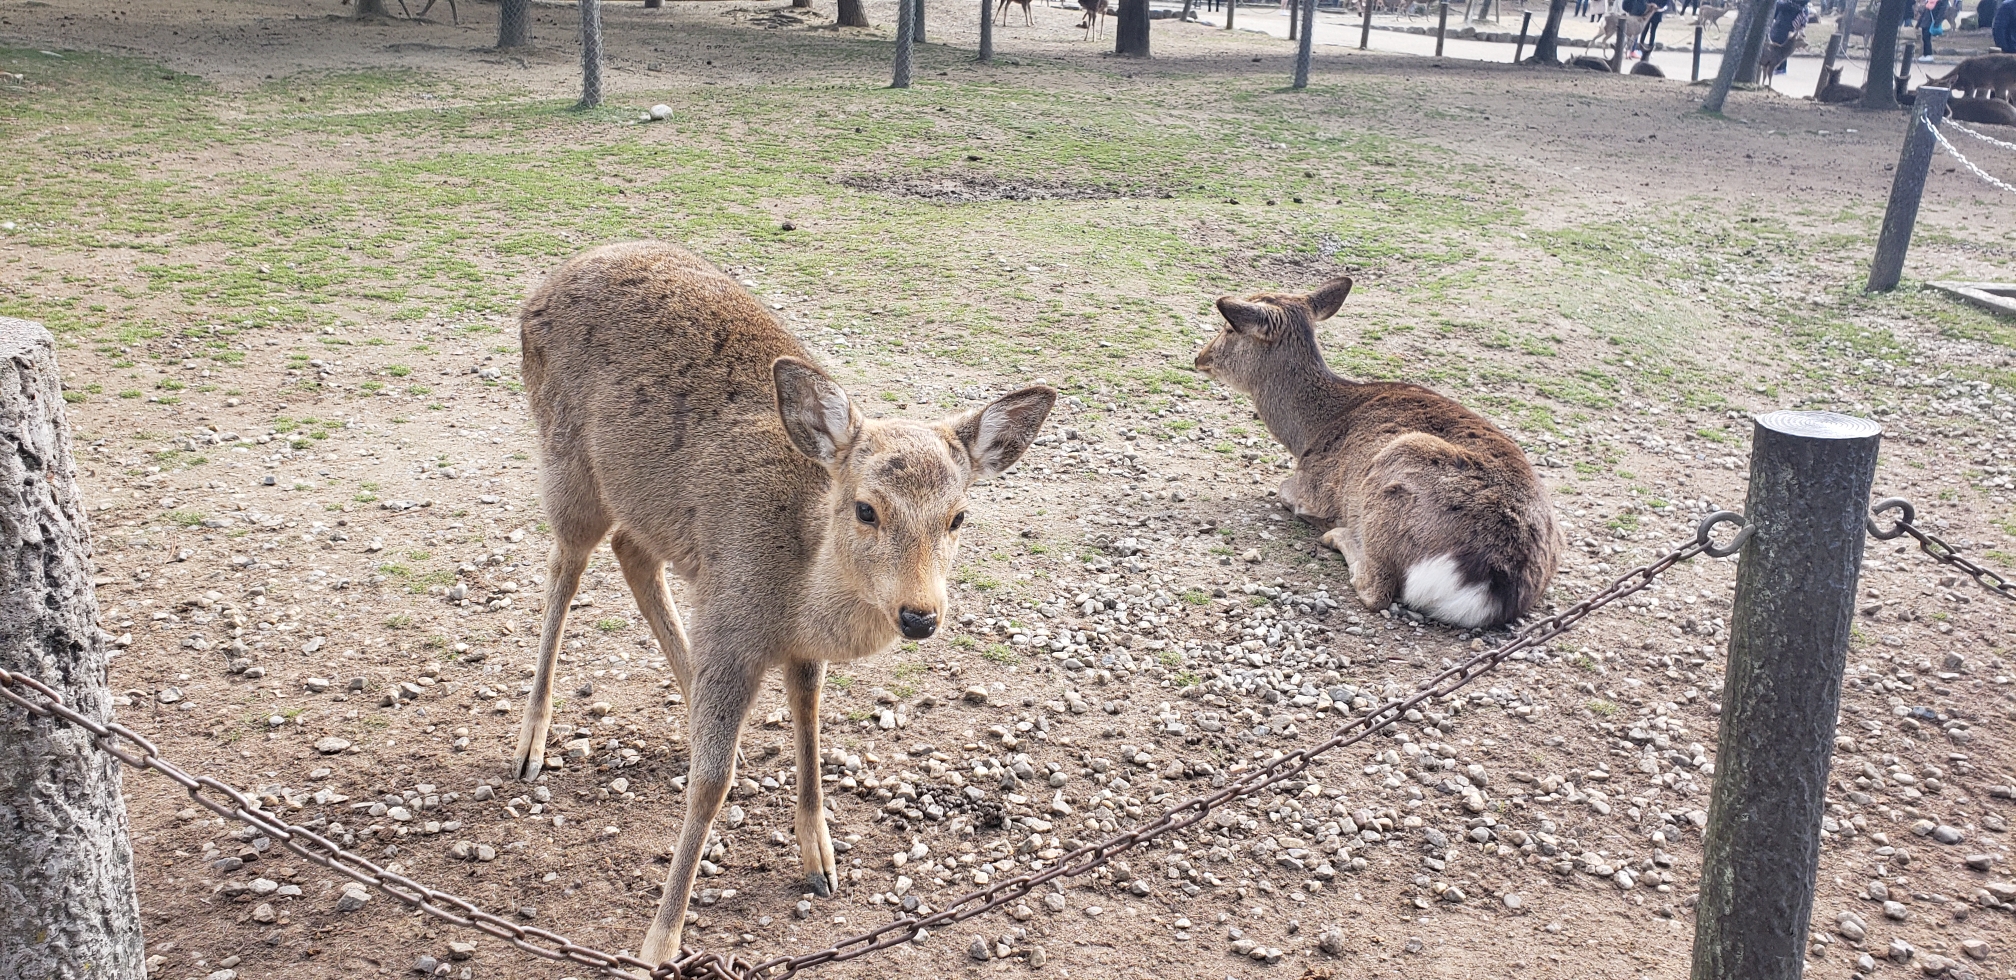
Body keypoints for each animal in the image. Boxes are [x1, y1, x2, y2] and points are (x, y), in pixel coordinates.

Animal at [512, 238, 1064, 963]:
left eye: (958, 517)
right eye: (865, 508)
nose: (920, 614)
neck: (797, 596)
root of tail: (543, 286)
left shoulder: (791, 647)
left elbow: (809, 718)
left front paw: (819, 857)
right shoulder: (732, 618)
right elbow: (710, 785)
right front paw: (659, 943)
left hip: (650, 513)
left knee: (633, 553)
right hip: (568, 463)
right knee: (565, 566)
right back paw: (531, 741)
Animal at [1193, 276, 1556, 629]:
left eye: (1228, 328)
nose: (1199, 357)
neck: (1308, 434)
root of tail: (1490, 588)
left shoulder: (1315, 487)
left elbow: (1285, 491)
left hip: (1399, 462)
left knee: (1377, 590)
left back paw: (1337, 535)